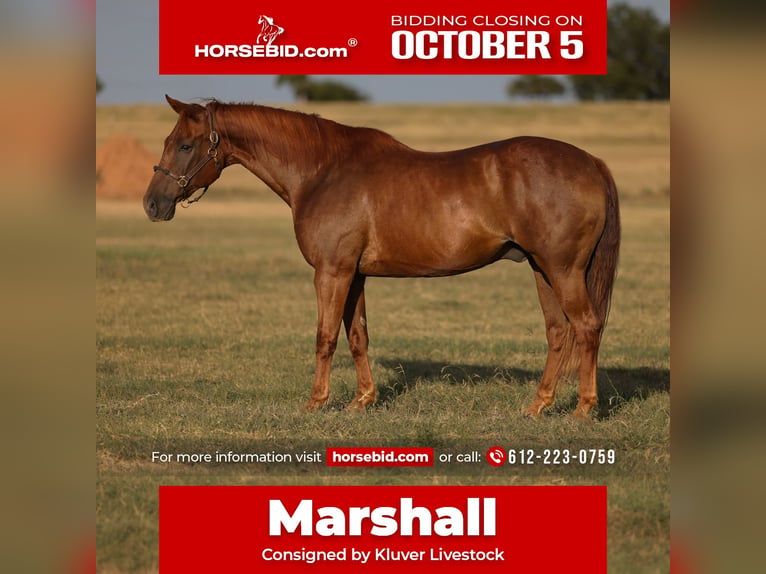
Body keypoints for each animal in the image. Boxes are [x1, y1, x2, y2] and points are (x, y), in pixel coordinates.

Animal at [144, 96, 620, 419]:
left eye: (185, 145)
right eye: (167, 140)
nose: (152, 204)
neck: (323, 171)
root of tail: (591, 161)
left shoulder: (331, 273)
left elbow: (325, 337)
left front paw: (316, 402)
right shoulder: (354, 275)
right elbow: (358, 336)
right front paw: (362, 400)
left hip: (563, 270)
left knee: (586, 325)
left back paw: (584, 408)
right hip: (542, 269)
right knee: (559, 331)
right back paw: (538, 406)